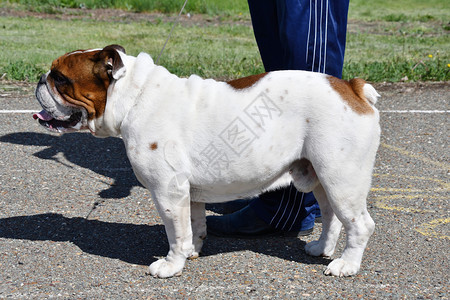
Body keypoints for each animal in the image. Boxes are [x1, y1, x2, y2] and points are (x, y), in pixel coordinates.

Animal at [34, 45, 380, 278]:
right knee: (332, 215)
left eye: (60, 78)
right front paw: (191, 251)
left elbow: (175, 231)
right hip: (319, 175)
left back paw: (347, 265)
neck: (133, 98)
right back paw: (321, 248)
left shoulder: (168, 191)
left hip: (341, 178)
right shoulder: (188, 192)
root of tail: (351, 87)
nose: (40, 78)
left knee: (360, 223)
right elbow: (193, 225)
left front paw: (171, 264)